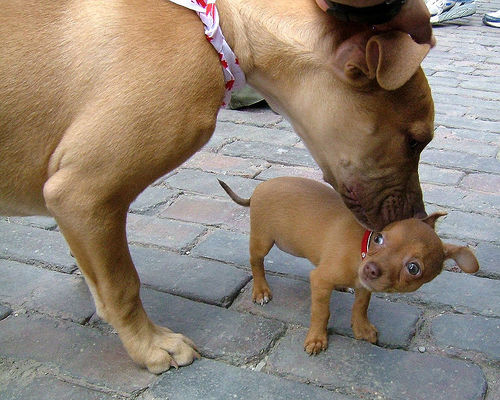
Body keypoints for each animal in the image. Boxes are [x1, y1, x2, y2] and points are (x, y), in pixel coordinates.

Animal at [0, 0, 434, 376]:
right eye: (415, 142)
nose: (418, 219)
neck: (221, 26)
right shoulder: (84, 194)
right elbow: (122, 287)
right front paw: (150, 346)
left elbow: (100, 276)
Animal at [220, 177, 480, 354]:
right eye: (379, 238)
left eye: (413, 268)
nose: (370, 269)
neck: (361, 250)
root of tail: (260, 187)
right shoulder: (320, 280)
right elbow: (321, 312)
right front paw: (317, 338)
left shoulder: (365, 286)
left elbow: (361, 305)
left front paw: (361, 327)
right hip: (263, 240)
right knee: (256, 262)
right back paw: (260, 290)